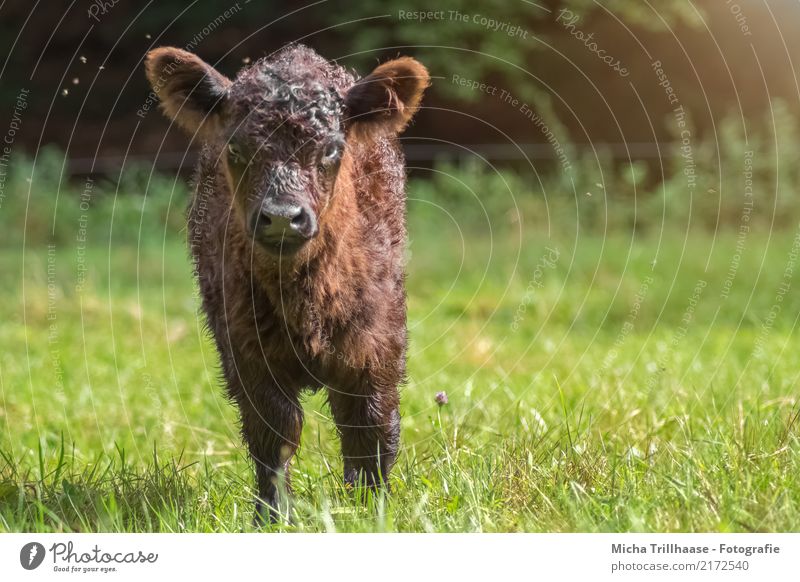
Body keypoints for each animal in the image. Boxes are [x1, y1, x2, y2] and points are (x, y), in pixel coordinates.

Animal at [146, 43, 428, 524]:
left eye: (332, 149)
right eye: (236, 147)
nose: (281, 216)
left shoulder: (376, 346)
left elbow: (370, 425)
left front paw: (371, 508)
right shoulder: (246, 353)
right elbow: (274, 432)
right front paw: (272, 516)